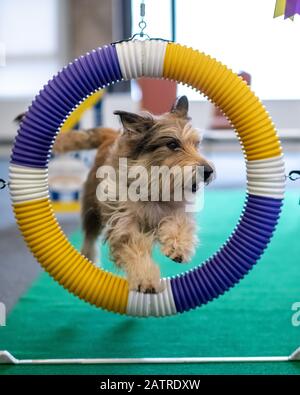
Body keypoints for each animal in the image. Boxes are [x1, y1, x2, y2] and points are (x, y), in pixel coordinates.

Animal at [21, 96, 214, 294]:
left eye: (197, 144)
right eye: (172, 144)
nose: (208, 171)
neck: (155, 186)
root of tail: (110, 135)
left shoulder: (176, 209)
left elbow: (180, 223)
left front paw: (179, 247)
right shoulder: (123, 222)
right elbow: (133, 246)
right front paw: (145, 278)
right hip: (91, 208)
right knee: (90, 237)